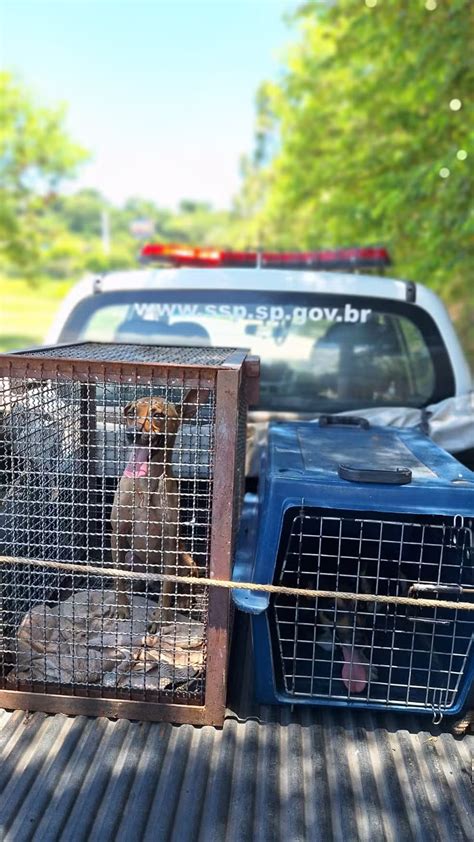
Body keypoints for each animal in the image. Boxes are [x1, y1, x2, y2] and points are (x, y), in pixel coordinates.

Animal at [112, 388, 208, 624]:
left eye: (158, 415)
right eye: (131, 412)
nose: (132, 433)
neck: (146, 485)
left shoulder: (169, 543)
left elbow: (168, 586)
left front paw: (160, 617)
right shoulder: (117, 533)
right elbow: (118, 577)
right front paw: (122, 607)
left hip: (185, 560)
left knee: (183, 586)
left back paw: (182, 603)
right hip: (132, 557)